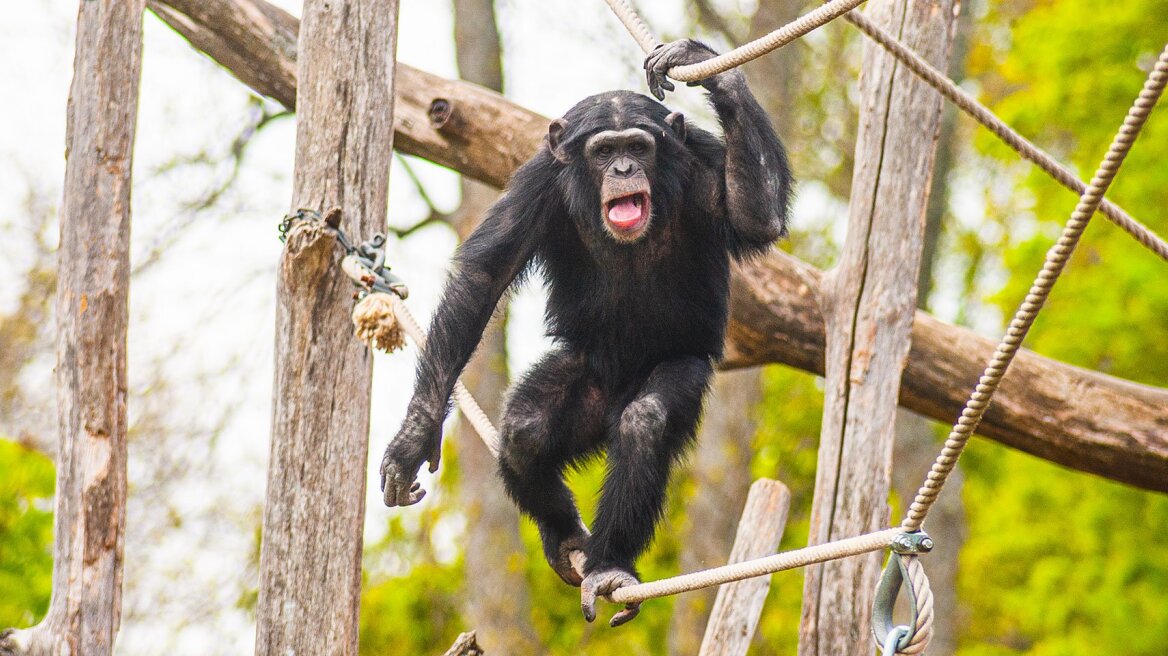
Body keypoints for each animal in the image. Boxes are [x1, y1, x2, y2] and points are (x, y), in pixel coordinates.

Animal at [383, 39, 794, 620]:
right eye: (603, 151)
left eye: (638, 146)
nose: (623, 166)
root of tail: (613, 400)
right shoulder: (535, 185)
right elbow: (484, 279)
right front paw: (415, 435)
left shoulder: (705, 164)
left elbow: (754, 215)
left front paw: (705, 64)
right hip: (585, 378)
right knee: (525, 431)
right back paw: (565, 538)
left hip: (677, 375)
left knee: (643, 423)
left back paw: (608, 564)